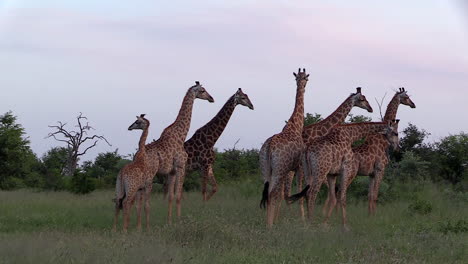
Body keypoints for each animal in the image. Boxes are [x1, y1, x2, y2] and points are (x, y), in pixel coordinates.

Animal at [145, 81, 215, 225]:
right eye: (203, 90)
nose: (211, 98)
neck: (181, 135)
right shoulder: (180, 166)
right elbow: (178, 195)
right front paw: (179, 220)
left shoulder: (172, 171)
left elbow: (171, 196)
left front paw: (169, 221)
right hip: (150, 174)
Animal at [258, 67, 308, 227]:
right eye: (306, 78)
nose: (302, 85)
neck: (295, 126)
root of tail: (269, 147)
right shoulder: (299, 167)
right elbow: (297, 193)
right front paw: (303, 221)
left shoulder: (288, 170)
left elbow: (282, 195)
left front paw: (277, 219)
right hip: (279, 170)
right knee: (271, 193)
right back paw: (269, 226)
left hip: (266, 169)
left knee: (268, 192)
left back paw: (268, 223)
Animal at [328, 87, 414, 216]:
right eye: (407, 97)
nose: (413, 105)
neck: (382, 139)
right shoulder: (380, 169)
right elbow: (375, 196)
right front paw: (374, 216)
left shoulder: (371, 174)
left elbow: (369, 195)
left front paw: (369, 215)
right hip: (350, 173)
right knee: (339, 193)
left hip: (337, 174)